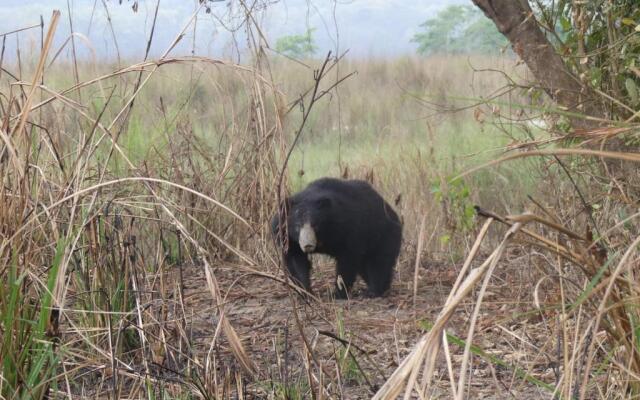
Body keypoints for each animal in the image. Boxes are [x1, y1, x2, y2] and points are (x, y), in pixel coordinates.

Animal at [272, 177, 402, 296]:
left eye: (315, 225)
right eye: (298, 226)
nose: (307, 245)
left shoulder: (347, 229)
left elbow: (347, 259)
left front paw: (337, 293)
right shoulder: (286, 237)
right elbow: (296, 260)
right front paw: (305, 292)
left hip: (383, 235)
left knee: (379, 262)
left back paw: (373, 291)